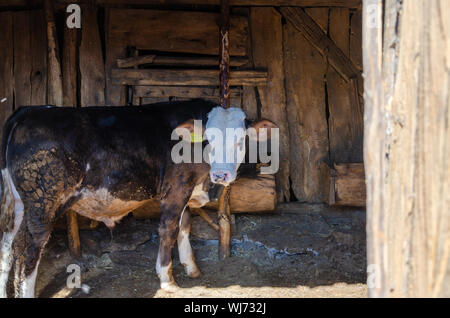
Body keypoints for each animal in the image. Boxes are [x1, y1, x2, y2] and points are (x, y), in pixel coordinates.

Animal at [0, 100, 276, 298]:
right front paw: (167, 279)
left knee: (7, 245)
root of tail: (27, 111)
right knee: (27, 250)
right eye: (209, 139)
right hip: (42, 203)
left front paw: (192, 267)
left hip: (16, 204)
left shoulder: (185, 191)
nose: (221, 174)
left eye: (241, 140)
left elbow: (185, 226)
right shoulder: (176, 189)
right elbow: (169, 229)